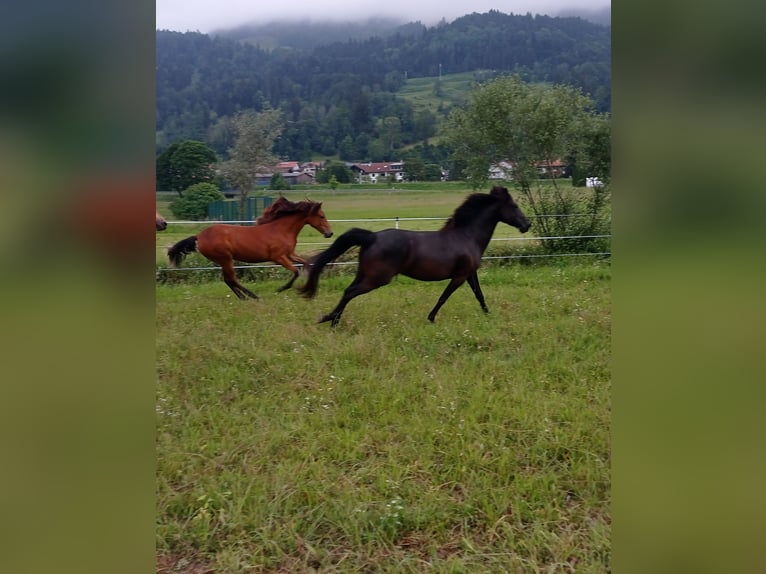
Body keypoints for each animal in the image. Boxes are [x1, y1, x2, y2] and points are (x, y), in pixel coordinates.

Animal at [168, 197, 332, 300]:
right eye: (322, 216)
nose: (329, 233)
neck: (281, 230)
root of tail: (199, 236)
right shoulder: (278, 258)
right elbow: (295, 271)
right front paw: (281, 289)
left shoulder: (290, 254)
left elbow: (306, 264)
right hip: (226, 259)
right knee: (231, 279)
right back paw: (252, 296)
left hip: (223, 261)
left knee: (228, 280)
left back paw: (244, 298)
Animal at [300, 187, 536, 326]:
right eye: (514, 206)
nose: (527, 224)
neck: (466, 236)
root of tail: (372, 237)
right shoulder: (459, 277)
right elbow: (443, 297)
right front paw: (431, 318)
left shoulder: (470, 274)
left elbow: (479, 295)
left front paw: (488, 315)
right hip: (377, 278)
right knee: (350, 292)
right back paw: (331, 320)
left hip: (365, 274)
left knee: (348, 291)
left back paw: (332, 318)